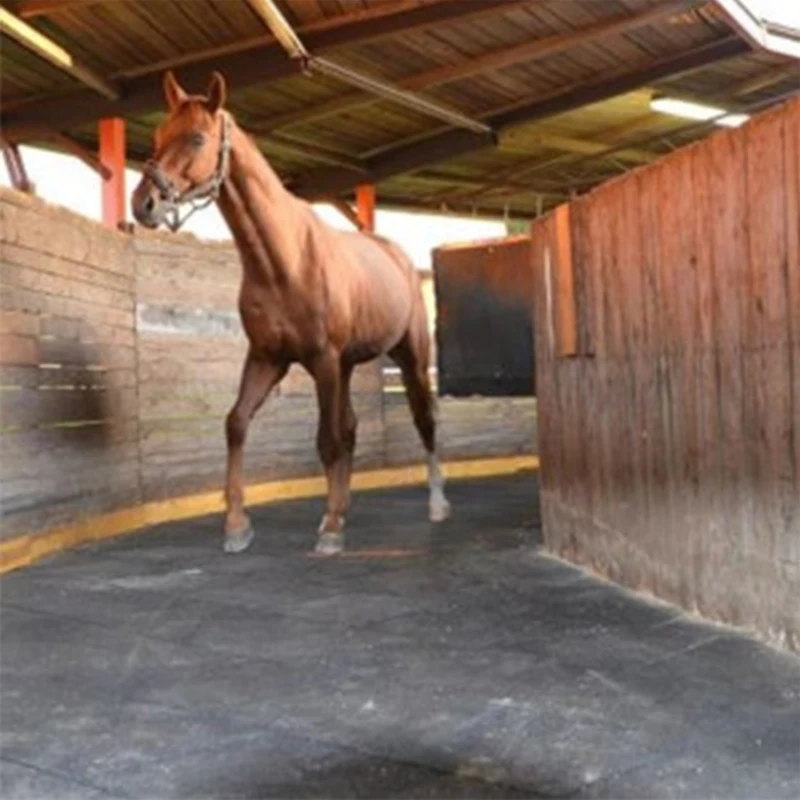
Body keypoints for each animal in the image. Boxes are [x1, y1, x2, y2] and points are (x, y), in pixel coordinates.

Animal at [131, 70, 451, 556]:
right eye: (159, 135)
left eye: (198, 137)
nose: (144, 203)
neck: (285, 259)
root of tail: (398, 256)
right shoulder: (269, 358)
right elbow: (237, 423)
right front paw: (237, 525)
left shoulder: (322, 360)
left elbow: (327, 440)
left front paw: (331, 529)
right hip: (347, 366)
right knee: (351, 426)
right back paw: (345, 504)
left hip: (409, 356)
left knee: (422, 419)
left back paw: (435, 503)